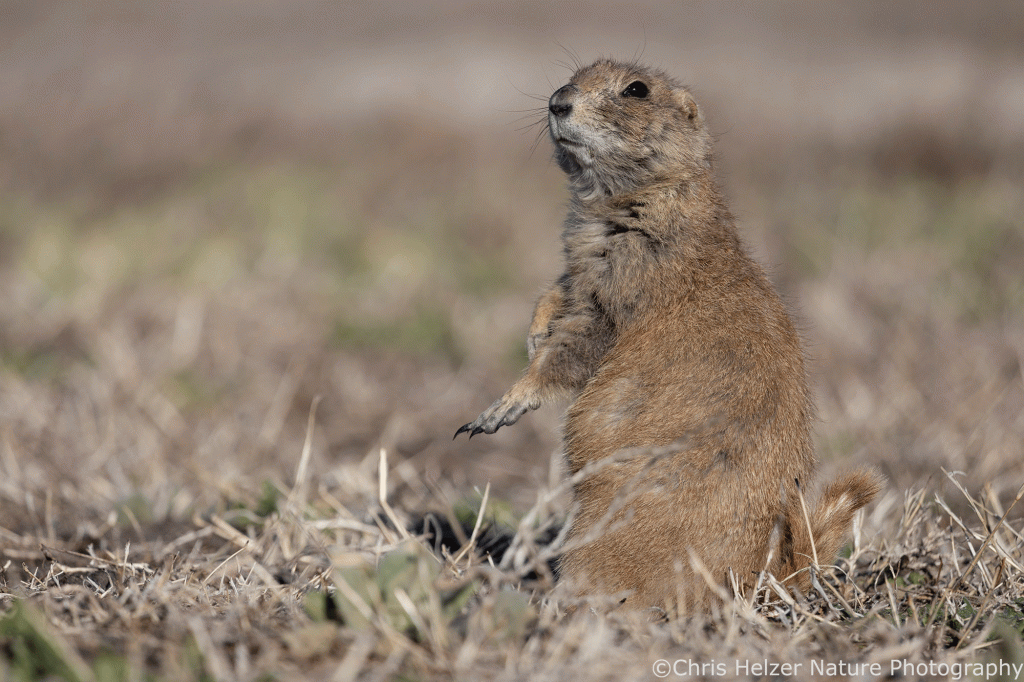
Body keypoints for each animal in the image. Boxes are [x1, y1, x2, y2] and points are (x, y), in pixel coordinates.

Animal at [456, 59, 881, 612]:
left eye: (636, 90)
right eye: (576, 73)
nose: (557, 101)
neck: (641, 198)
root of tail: (766, 579)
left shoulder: (625, 283)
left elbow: (576, 345)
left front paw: (502, 406)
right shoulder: (577, 269)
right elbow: (555, 292)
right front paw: (533, 334)